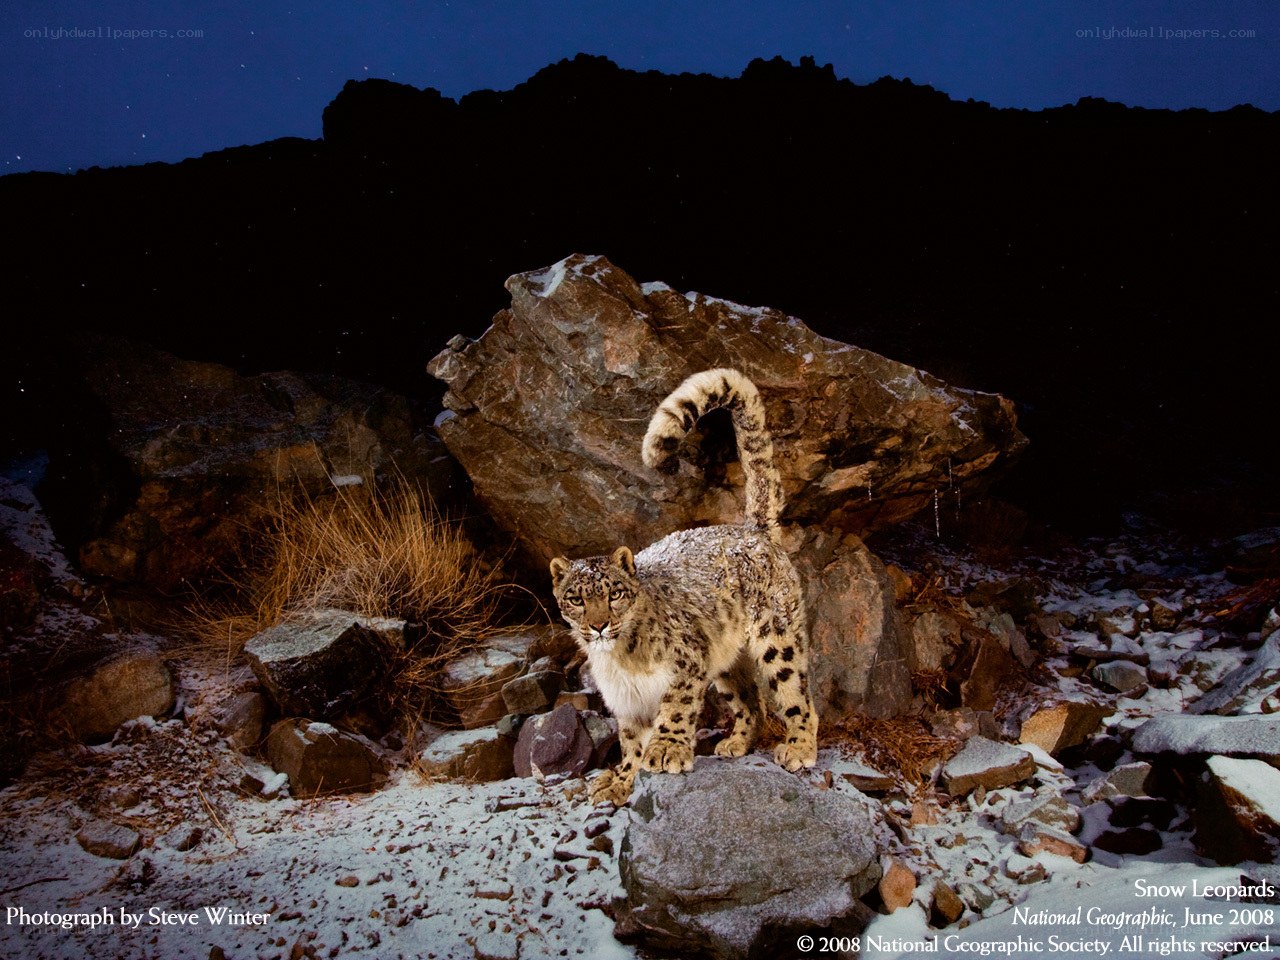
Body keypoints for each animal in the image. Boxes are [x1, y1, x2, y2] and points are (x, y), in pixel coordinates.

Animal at [549, 368, 818, 805]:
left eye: (614, 594)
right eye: (575, 598)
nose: (599, 625)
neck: (618, 659)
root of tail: (753, 532)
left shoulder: (687, 663)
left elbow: (674, 708)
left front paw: (666, 751)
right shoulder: (627, 701)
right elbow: (630, 742)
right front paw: (620, 781)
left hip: (777, 638)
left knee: (796, 692)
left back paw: (798, 748)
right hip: (726, 661)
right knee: (751, 700)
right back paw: (735, 744)